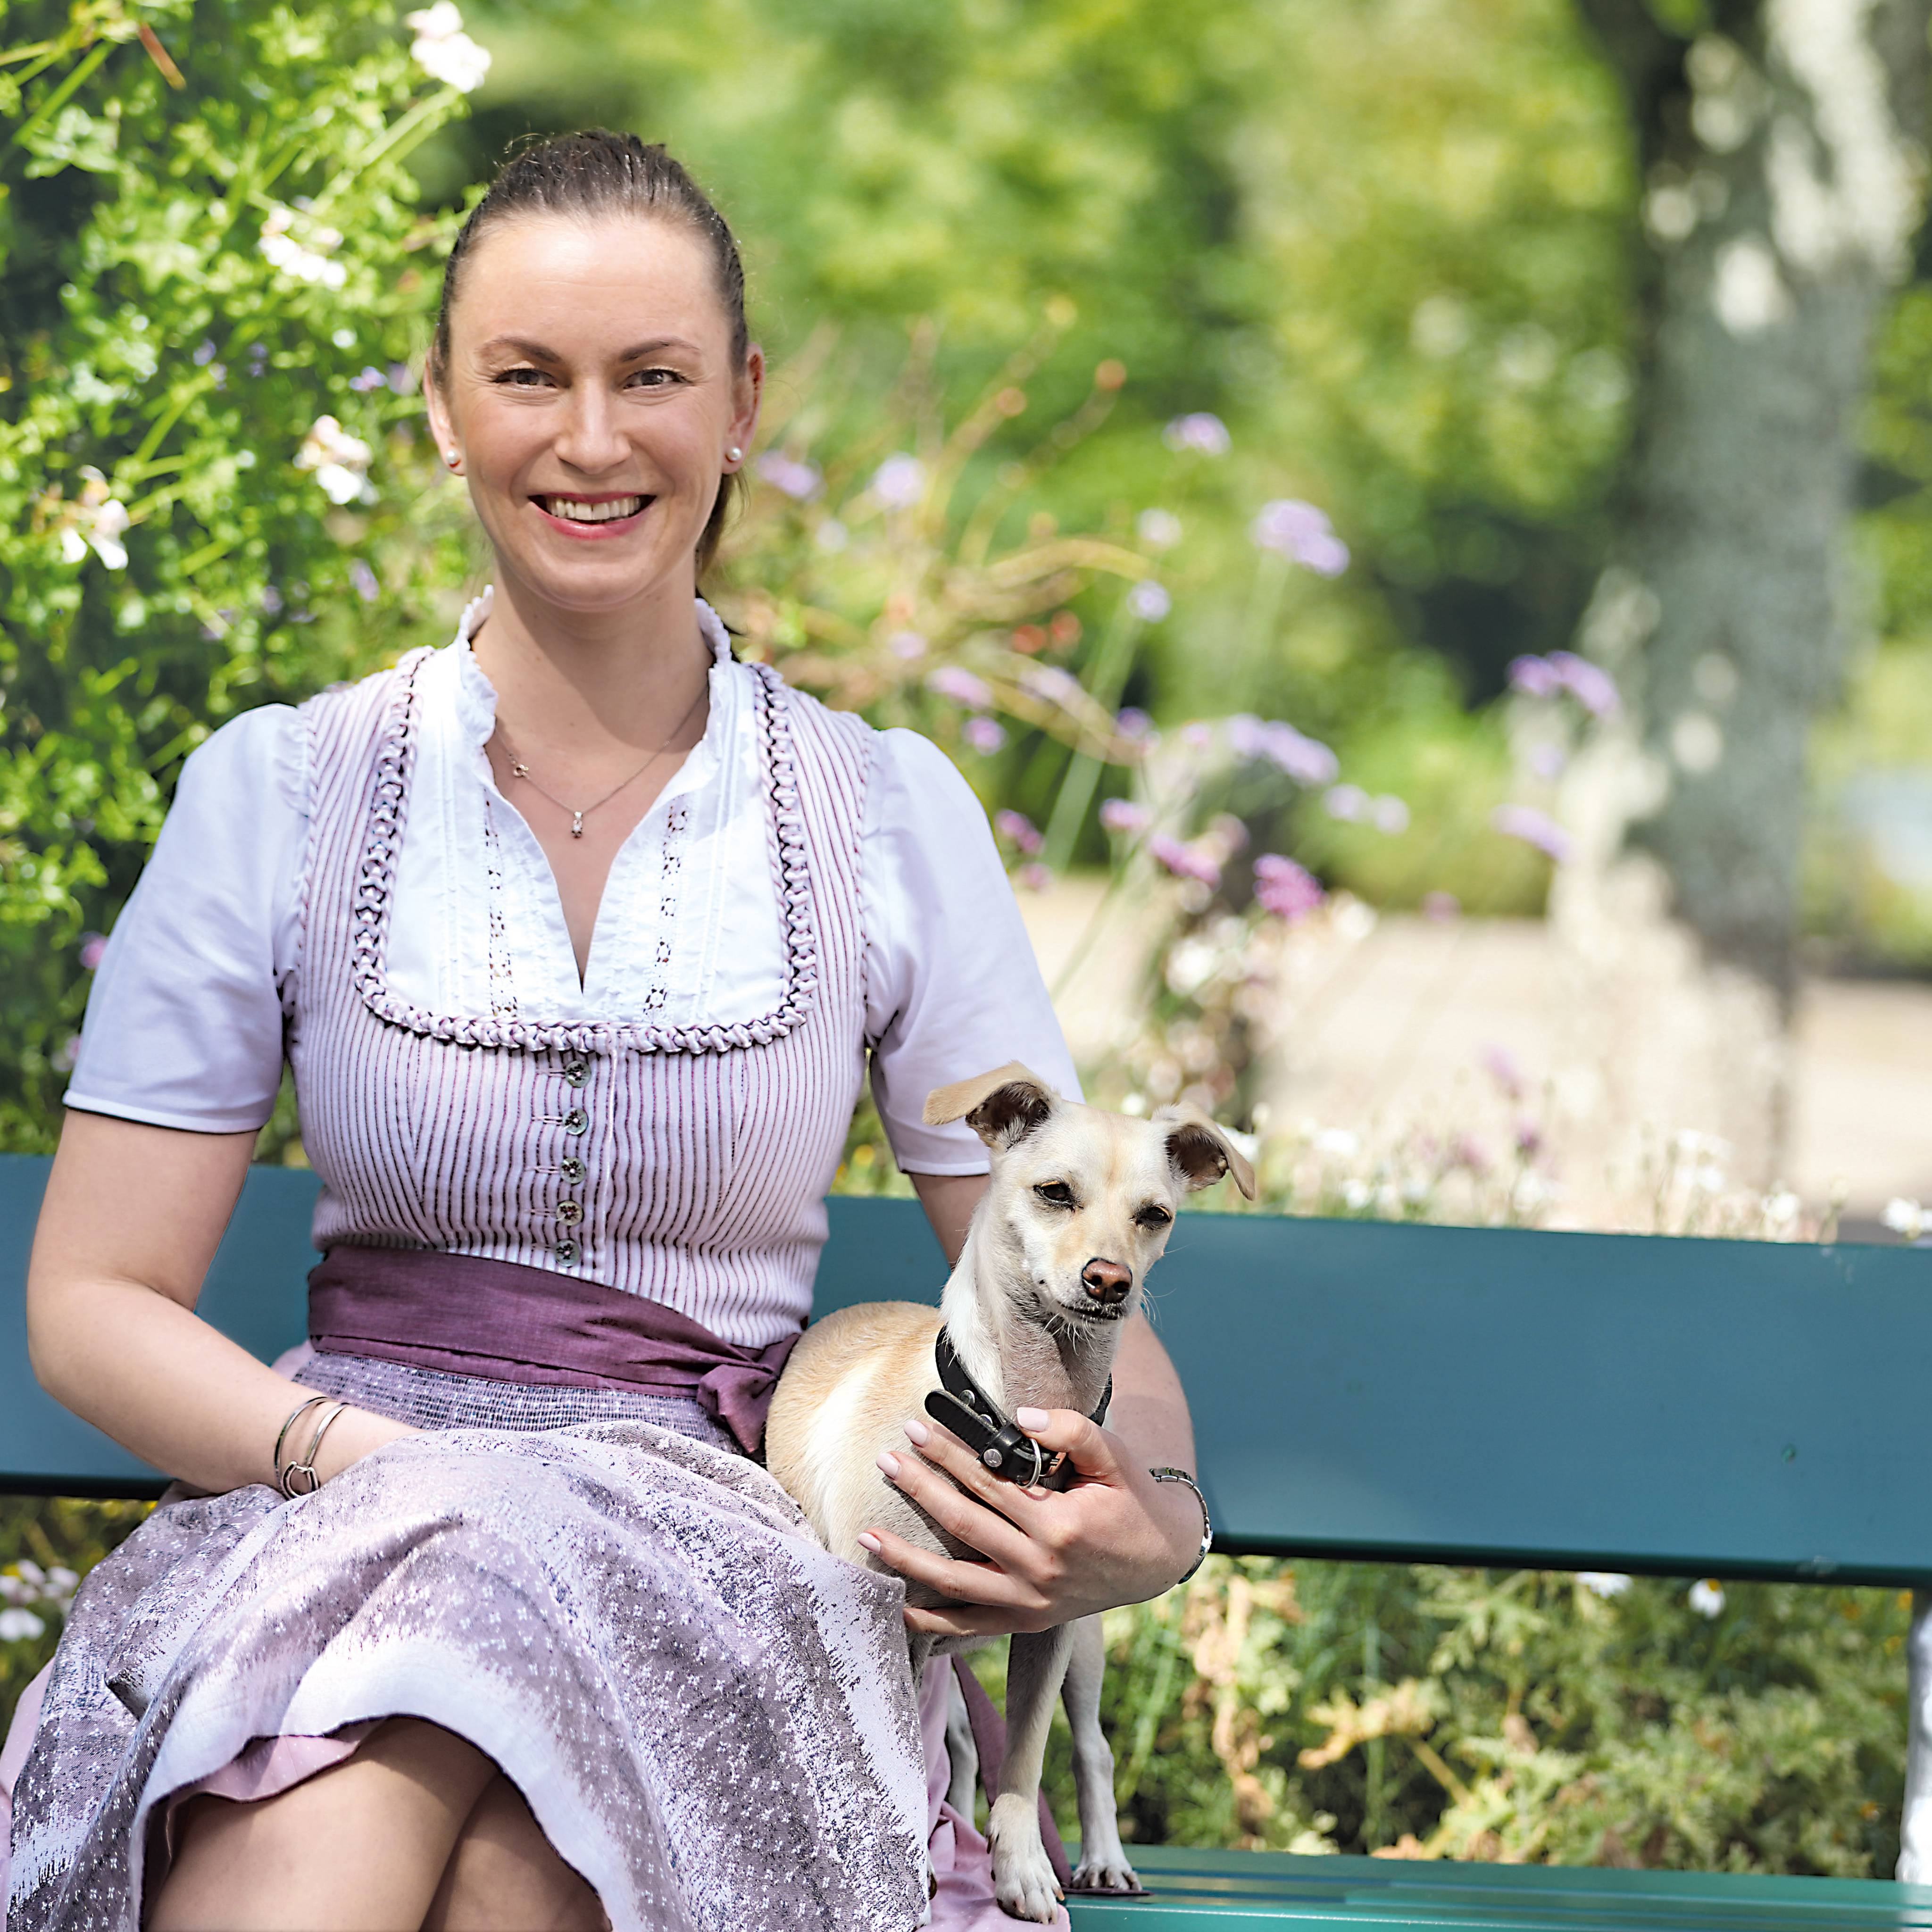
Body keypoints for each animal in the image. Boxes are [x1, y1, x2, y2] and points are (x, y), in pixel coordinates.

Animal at [765, 1066, 1252, 1924]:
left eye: (1155, 1216)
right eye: (1054, 1193)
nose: (1109, 1280)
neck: (1011, 1416)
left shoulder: (1048, 1633)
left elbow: (1024, 1760)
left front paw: (1020, 1866)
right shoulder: (881, 1621)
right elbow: (902, 1749)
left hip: (1084, 1645)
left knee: (1090, 1748)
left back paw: (1103, 1859)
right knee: (957, 1744)